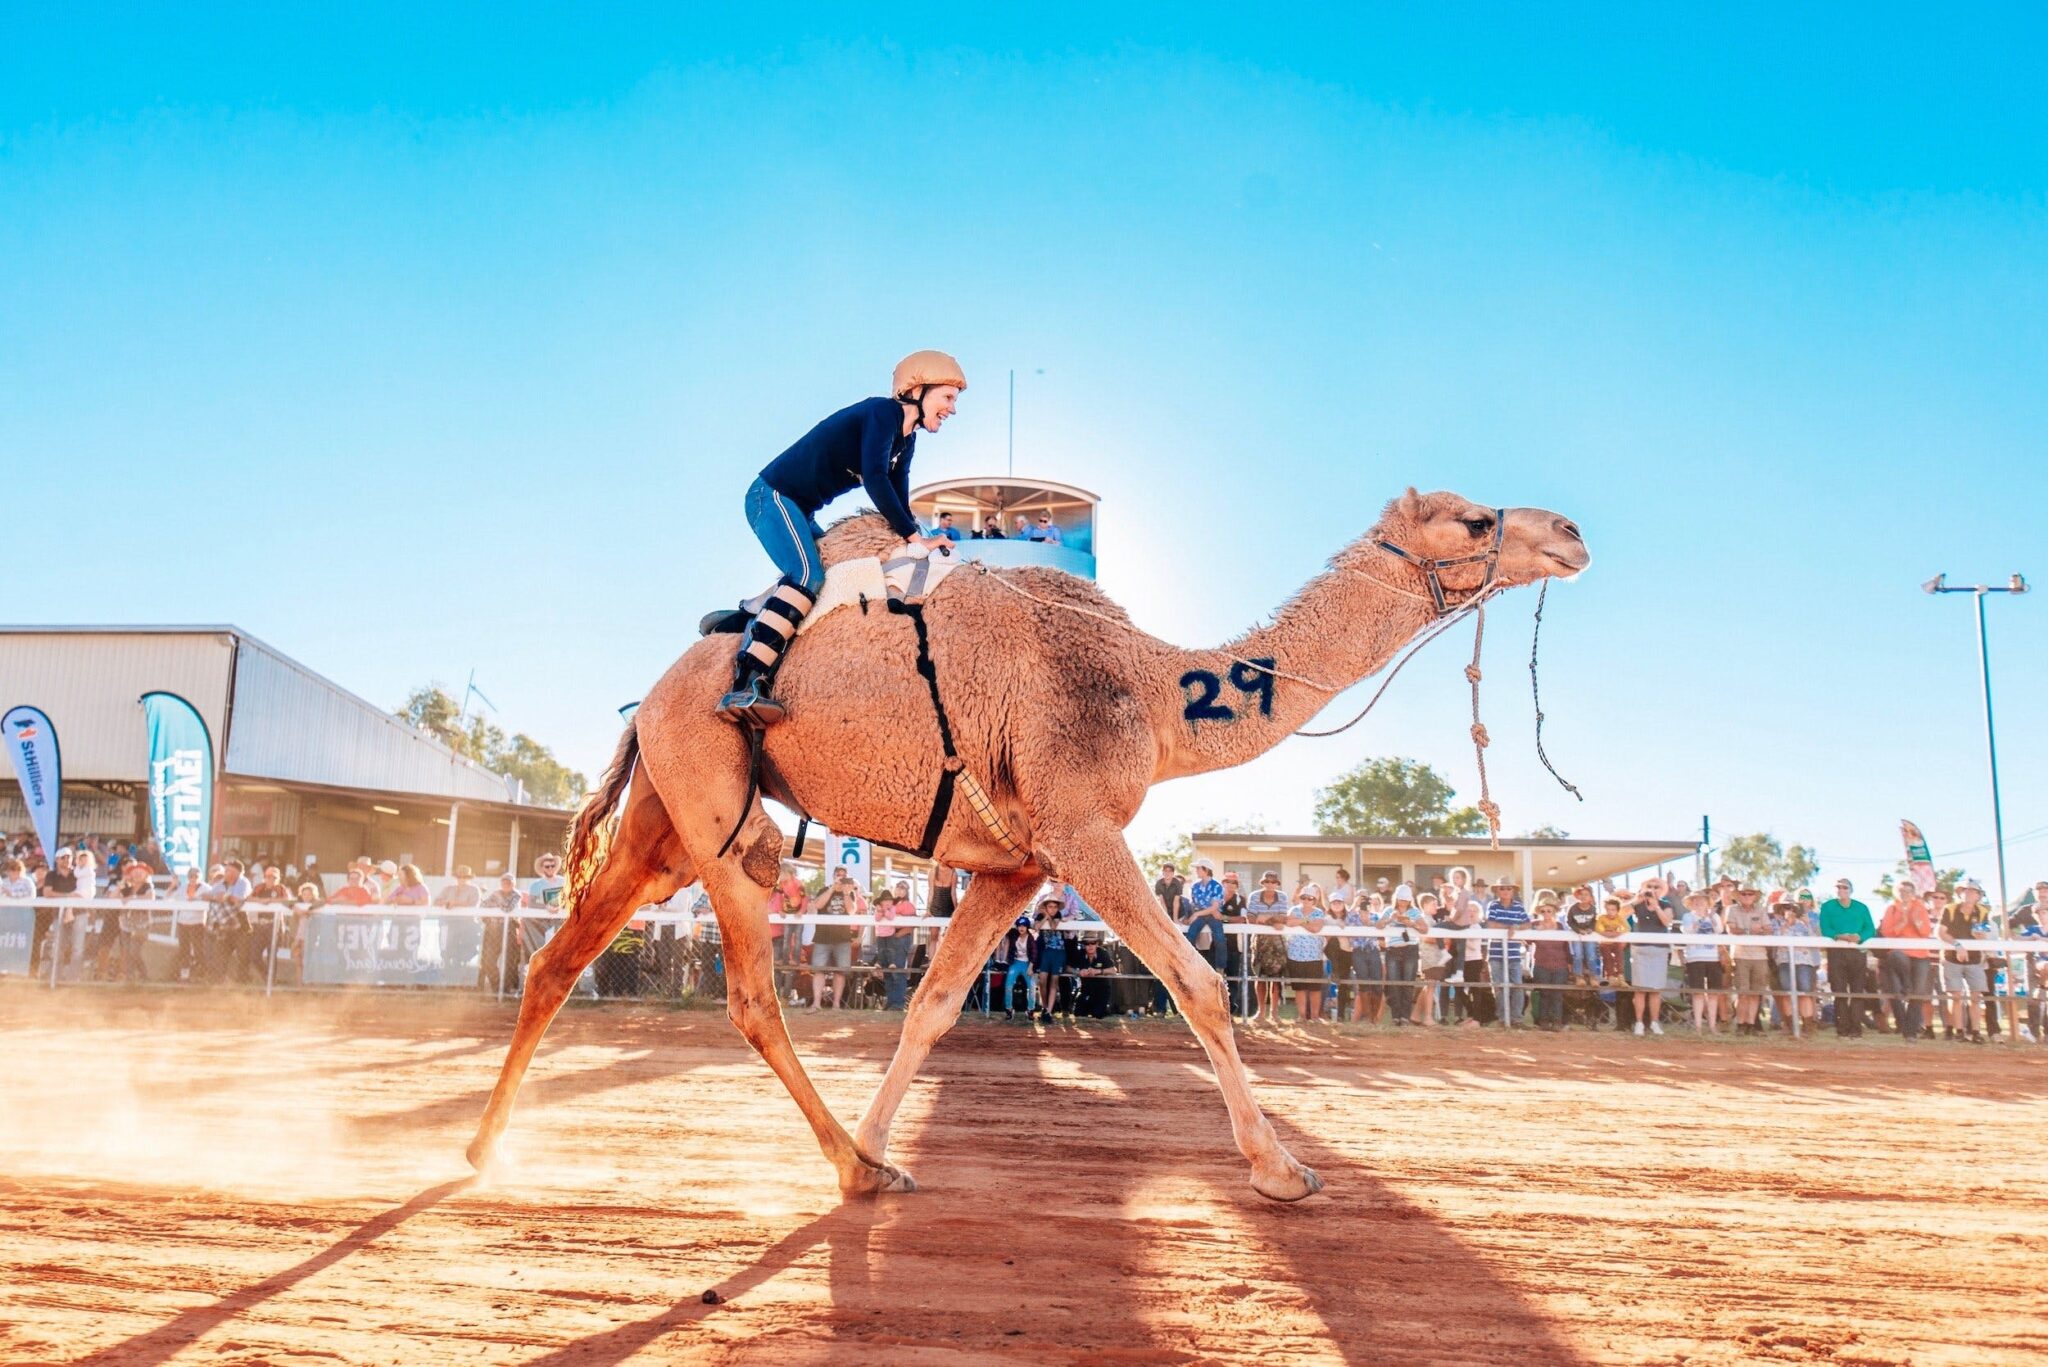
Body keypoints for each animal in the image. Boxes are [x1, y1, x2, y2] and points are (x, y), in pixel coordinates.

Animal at [471, 489, 1589, 1196]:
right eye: (1474, 517)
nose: (1571, 531)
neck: (1153, 688)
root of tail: (658, 689)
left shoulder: (1015, 863)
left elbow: (930, 1004)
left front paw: (884, 1136)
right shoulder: (1081, 827)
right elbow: (1198, 981)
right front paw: (1280, 1170)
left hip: (663, 818)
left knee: (556, 959)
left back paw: (481, 1151)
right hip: (714, 809)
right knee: (750, 993)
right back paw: (848, 1169)